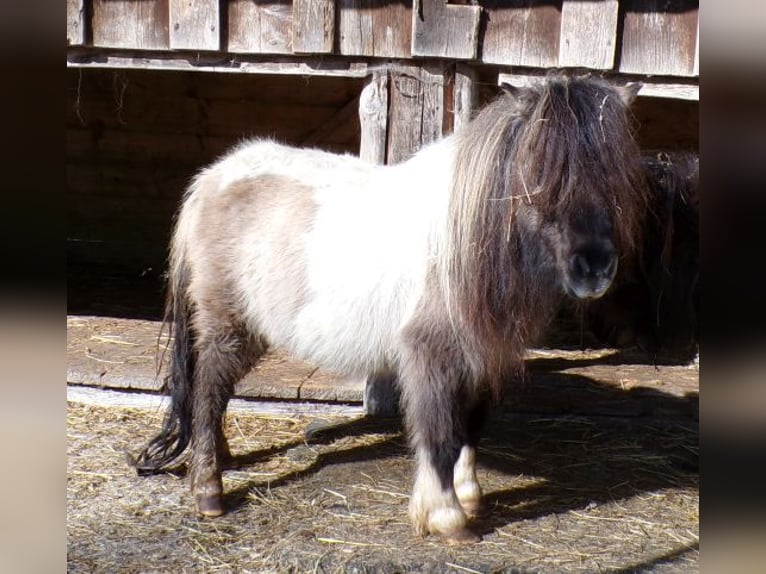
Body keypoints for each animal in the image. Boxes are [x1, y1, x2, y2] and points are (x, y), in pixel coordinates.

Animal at [133, 74, 650, 543]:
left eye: (616, 177)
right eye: (539, 173)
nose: (594, 269)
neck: (466, 240)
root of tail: (213, 178)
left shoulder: (484, 355)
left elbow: (470, 425)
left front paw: (469, 496)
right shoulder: (430, 356)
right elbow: (439, 432)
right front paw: (446, 517)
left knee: (211, 393)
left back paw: (221, 458)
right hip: (227, 324)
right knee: (207, 391)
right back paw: (209, 491)